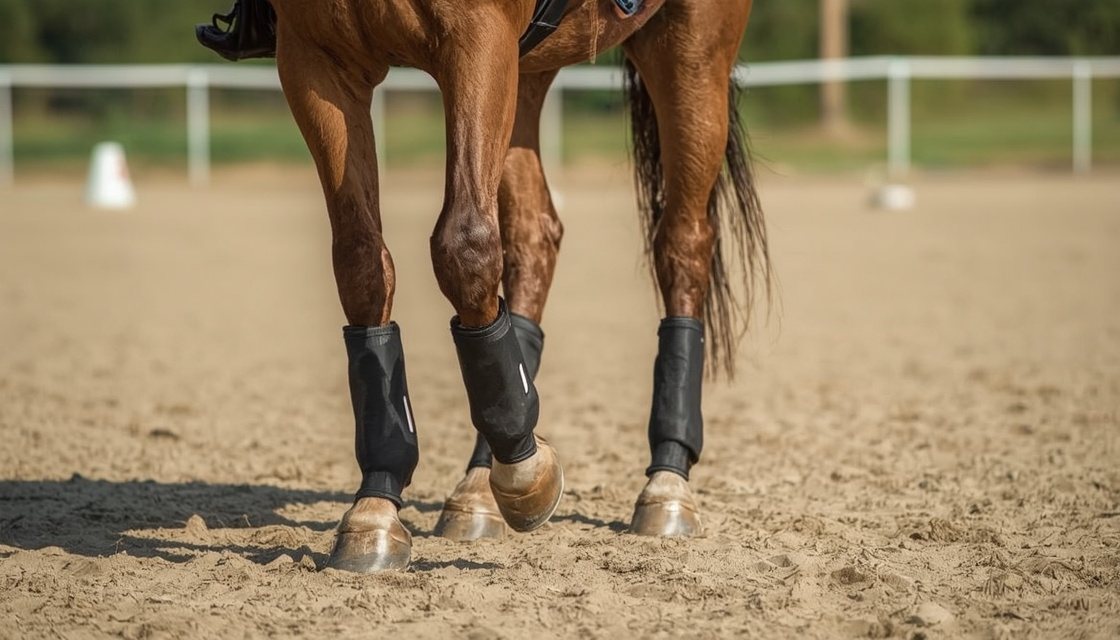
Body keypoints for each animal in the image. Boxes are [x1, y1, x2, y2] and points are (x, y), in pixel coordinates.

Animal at [262, 0, 768, 572]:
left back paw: (667, 482)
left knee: (683, 241)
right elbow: (360, 260)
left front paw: (529, 472)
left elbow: (464, 246)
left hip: (691, 49)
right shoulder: (315, 58)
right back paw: (481, 487)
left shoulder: (478, 36)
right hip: (527, 66)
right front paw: (375, 508)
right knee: (532, 234)